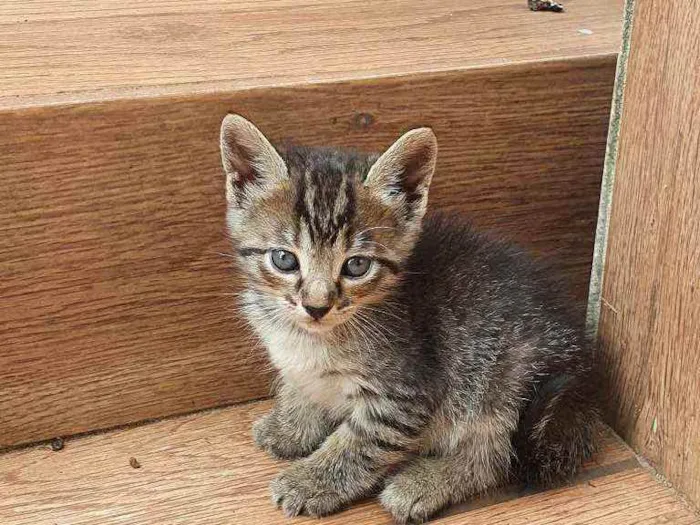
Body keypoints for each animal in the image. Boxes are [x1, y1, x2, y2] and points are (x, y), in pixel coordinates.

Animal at [221, 113, 600, 520]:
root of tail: (584, 381)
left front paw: (312, 480)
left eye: (356, 266)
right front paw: (290, 426)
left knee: (492, 457)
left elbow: (358, 444)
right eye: (284, 260)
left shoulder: (405, 393)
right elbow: (300, 384)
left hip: (504, 381)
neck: (313, 336)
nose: (317, 306)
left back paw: (424, 483)